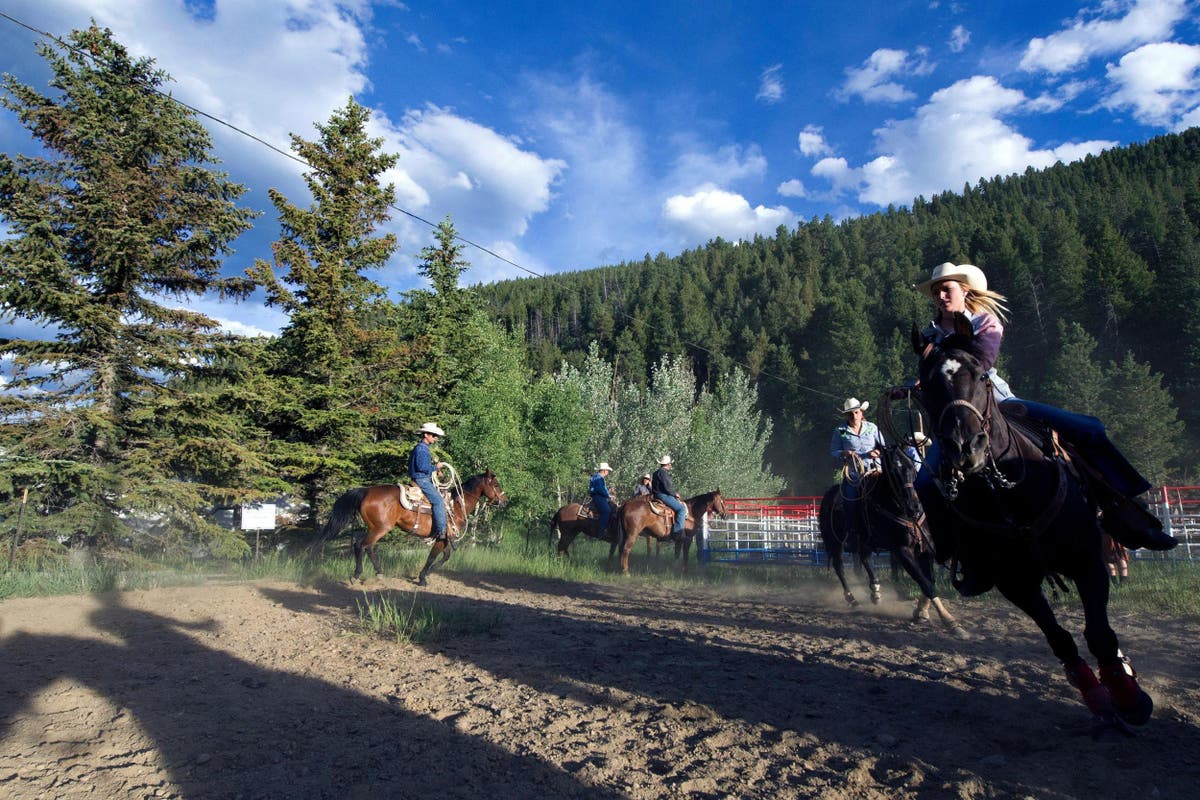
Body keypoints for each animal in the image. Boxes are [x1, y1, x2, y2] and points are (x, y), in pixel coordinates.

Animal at [314, 470, 506, 587]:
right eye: (496, 485)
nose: (505, 501)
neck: (456, 506)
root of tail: (366, 491)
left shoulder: (444, 539)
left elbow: (445, 556)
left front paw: (427, 574)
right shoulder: (442, 537)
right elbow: (433, 557)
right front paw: (422, 578)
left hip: (375, 528)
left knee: (367, 546)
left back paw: (379, 573)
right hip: (380, 528)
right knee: (360, 545)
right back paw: (356, 575)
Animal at [820, 443, 969, 638]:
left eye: (911, 468)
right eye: (893, 471)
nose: (913, 506)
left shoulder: (927, 549)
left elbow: (929, 580)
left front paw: (921, 612)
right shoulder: (901, 550)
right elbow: (925, 583)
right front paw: (950, 621)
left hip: (865, 541)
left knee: (865, 559)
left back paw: (875, 592)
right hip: (834, 542)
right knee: (840, 567)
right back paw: (852, 599)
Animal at [912, 314, 1156, 734]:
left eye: (981, 375)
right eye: (926, 386)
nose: (965, 448)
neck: (1009, 495)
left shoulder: (1088, 561)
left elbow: (1099, 633)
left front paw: (1129, 698)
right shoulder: (1016, 583)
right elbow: (1060, 639)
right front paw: (1098, 698)